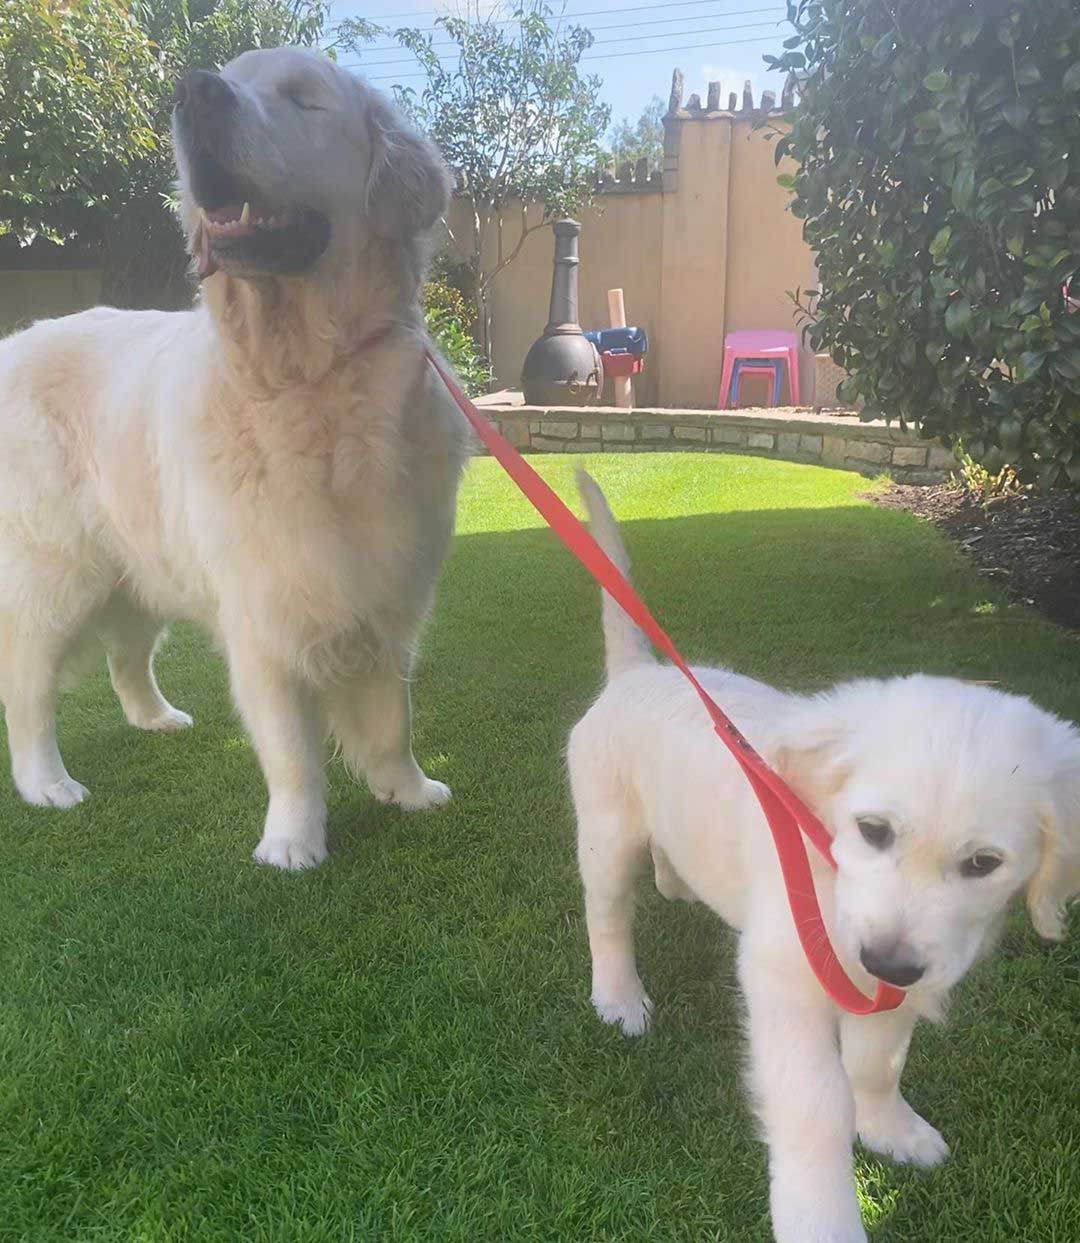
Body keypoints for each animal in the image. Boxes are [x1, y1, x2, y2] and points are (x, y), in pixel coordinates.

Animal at [0, 45, 467, 865]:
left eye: (303, 99)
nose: (192, 91)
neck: (310, 380)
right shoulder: (266, 613)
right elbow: (292, 748)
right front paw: (293, 841)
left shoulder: (387, 593)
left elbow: (391, 717)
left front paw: (406, 790)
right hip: (52, 574)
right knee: (25, 688)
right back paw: (46, 783)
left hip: (139, 561)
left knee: (127, 655)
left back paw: (156, 718)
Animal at [569, 469, 1073, 1238]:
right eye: (873, 830)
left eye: (984, 864)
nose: (888, 962)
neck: (829, 868)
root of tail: (636, 674)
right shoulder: (784, 979)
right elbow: (815, 1105)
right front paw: (822, 1215)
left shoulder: (895, 980)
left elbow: (877, 1063)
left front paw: (891, 1129)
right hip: (603, 830)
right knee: (609, 918)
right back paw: (619, 996)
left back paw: (677, 880)